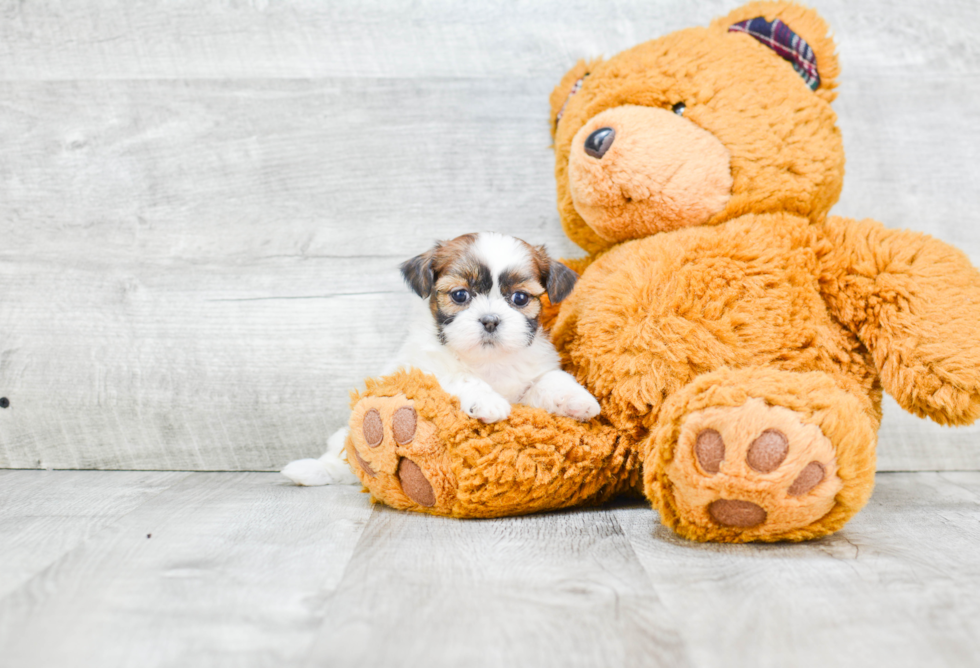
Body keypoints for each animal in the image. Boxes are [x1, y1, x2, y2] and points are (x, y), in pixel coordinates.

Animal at [280, 231, 600, 486]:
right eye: (460, 295)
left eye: (520, 298)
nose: (490, 320)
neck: (487, 361)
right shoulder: (425, 370)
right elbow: (461, 377)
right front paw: (488, 401)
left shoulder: (528, 385)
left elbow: (552, 379)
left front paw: (579, 400)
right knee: (341, 460)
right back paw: (310, 470)